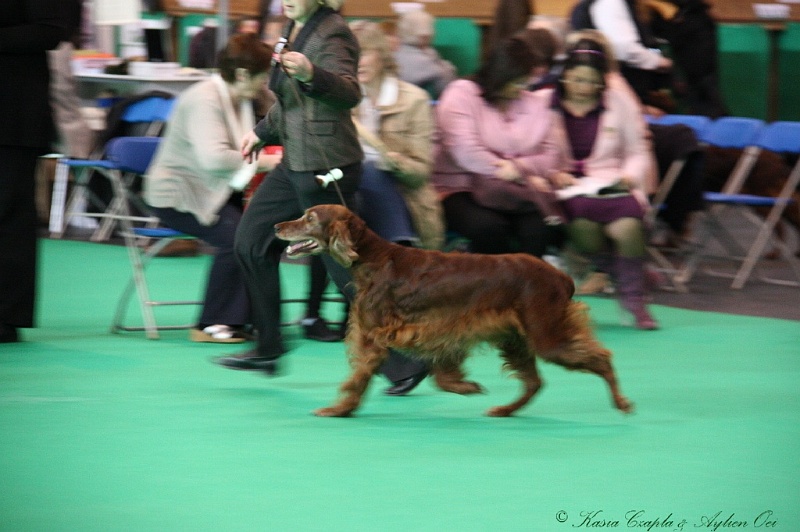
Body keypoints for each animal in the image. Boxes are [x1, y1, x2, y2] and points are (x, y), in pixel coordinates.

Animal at [272, 206, 636, 418]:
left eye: (309, 218)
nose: (277, 225)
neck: (372, 257)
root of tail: (560, 275)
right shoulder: (434, 333)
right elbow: (441, 375)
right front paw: (465, 386)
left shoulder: (381, 336)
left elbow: (359, 377)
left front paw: (339, 409)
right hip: (516, 339)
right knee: (534, 382)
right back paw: (505, 410)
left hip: (547, 335)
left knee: (601, 358)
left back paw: (622, 403)